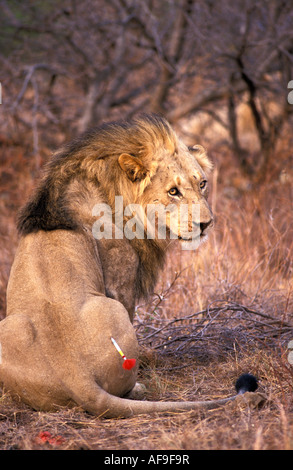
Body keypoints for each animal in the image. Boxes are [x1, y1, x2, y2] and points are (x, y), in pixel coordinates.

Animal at [0, 114, 256, 418]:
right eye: (173, 191)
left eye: (203, 183)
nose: (206, 224)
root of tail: (76, 375)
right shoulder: (121, 278)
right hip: (113, 309)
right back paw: (139, 386)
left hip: (7, 328)